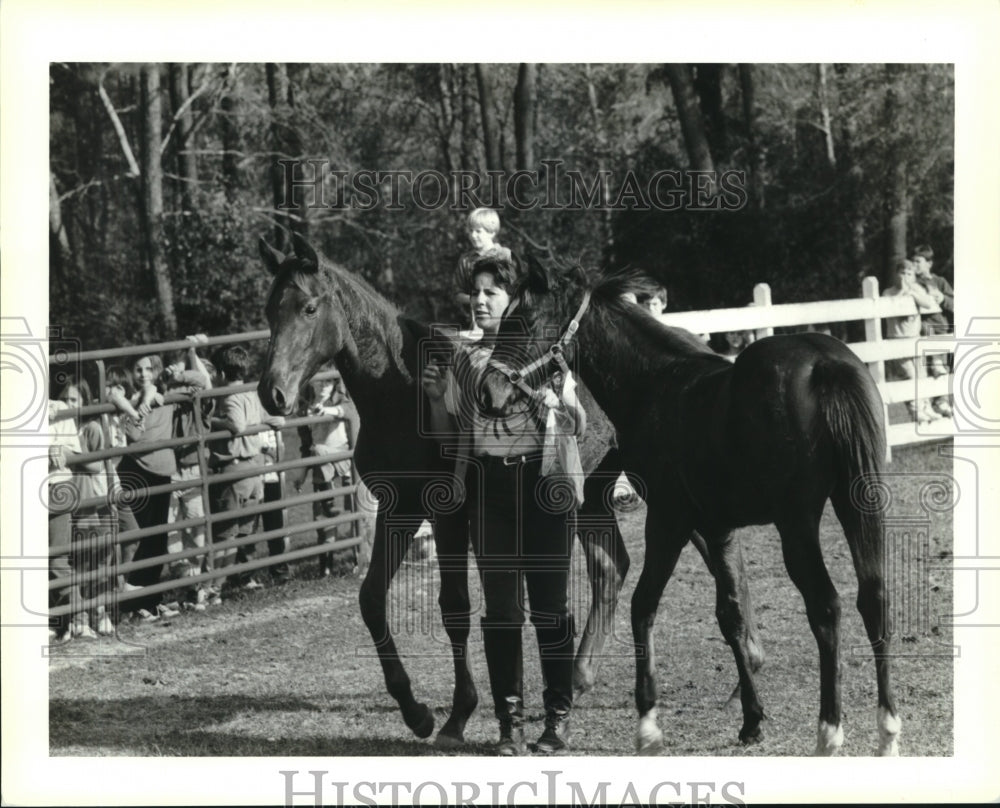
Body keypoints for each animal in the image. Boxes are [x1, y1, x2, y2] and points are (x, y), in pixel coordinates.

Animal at [254, 237, 760, 748]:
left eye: (309, 307)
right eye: (271, 310)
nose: (271, 393)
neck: (403, 390)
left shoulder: (447, 513)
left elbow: (454, 606)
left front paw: (457, 714)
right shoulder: (397, 508)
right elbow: (372, 599)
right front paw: (415, 711)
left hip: (664, 498)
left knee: (723, 564)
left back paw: (744, 684)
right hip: (597, 496)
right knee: (612, 567)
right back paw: (581, 679)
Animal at [480, 258, 904, 756]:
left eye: (525, 320)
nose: (489, 392)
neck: (654, 383)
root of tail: (825, 363)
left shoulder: (668, 520)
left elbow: (643, 605)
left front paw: (648, 725)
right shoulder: (717, 526)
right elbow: (731, 615)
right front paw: (751, 721)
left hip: (796, 523)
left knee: (827, 607)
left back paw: (829, 733)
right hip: (859, 500)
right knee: (873, 598)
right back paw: (887, 732)